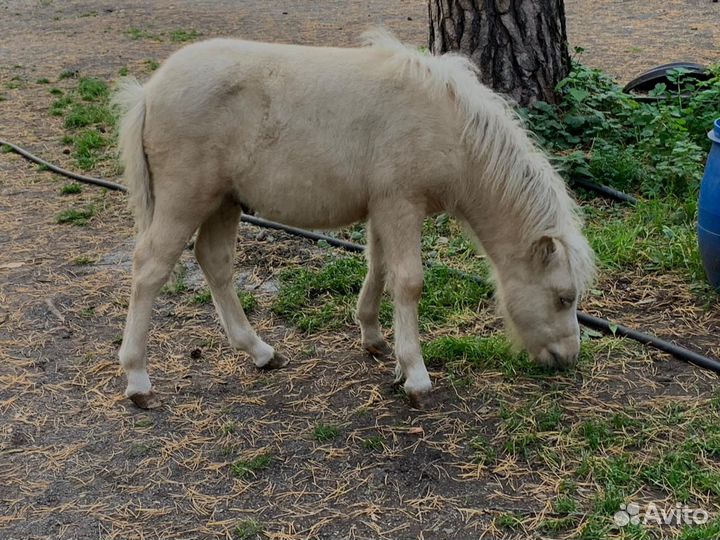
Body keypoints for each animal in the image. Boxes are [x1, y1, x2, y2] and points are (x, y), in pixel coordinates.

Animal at [113, 29, 596, 410]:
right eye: (563, 298)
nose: (568, 358)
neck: (449, 127)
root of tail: (149, 91)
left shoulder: (383, 208)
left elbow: (378, 268)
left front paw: (376, 341)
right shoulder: (401, 204)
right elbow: (409, 281)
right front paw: (416, 376)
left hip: (223, 202)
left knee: (214, 262)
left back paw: (261, 351)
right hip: (185, 200)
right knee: (150, 268)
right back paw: (138, 380)